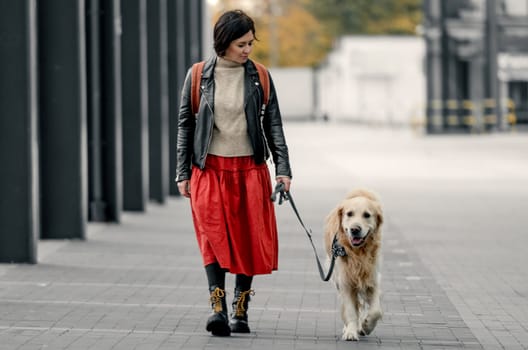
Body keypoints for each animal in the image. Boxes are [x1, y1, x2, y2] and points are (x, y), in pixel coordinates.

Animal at [322, 190, 384, 340]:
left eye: (367, 215)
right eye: (349, 213)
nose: (355, 229)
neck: (358, 253)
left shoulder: (373, 279)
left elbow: (376, 311)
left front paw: (366, 326)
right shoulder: (346, 282)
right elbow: (350, 310)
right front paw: (351, 331)